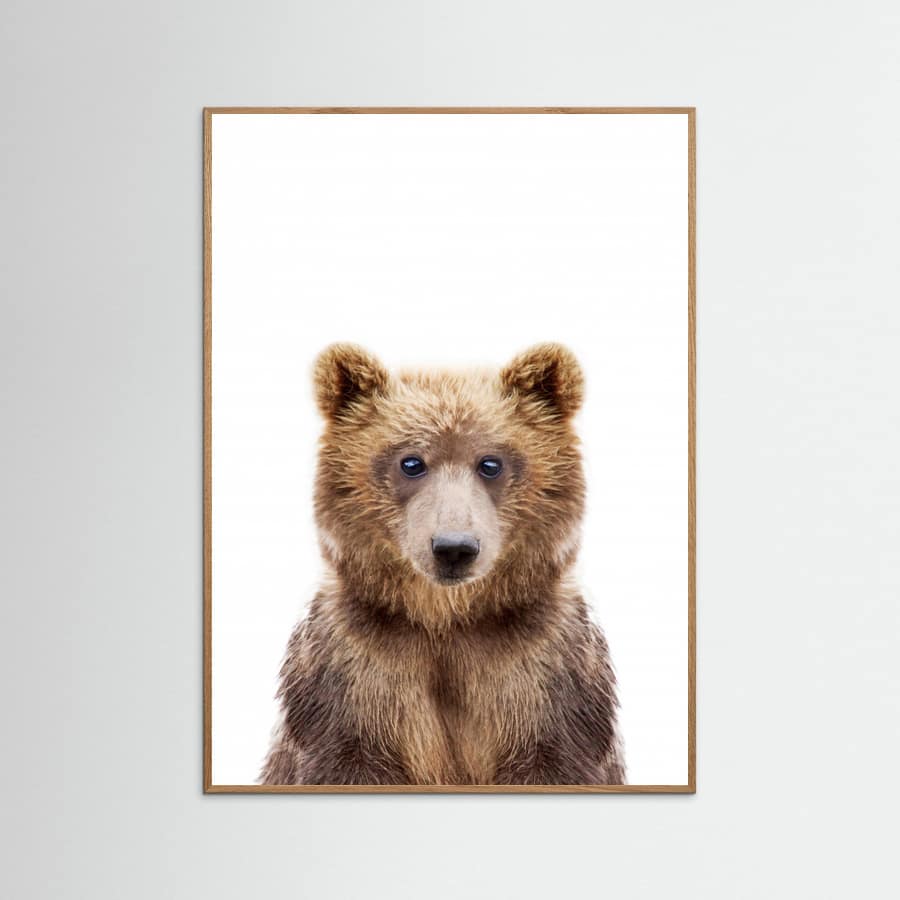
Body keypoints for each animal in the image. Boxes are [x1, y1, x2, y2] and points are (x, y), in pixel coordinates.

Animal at [259, 343, 625, 786]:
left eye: (490, 463)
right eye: (411, 462)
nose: (454, 547)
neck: (446, 619)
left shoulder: (545, 674)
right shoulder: (353, 675)